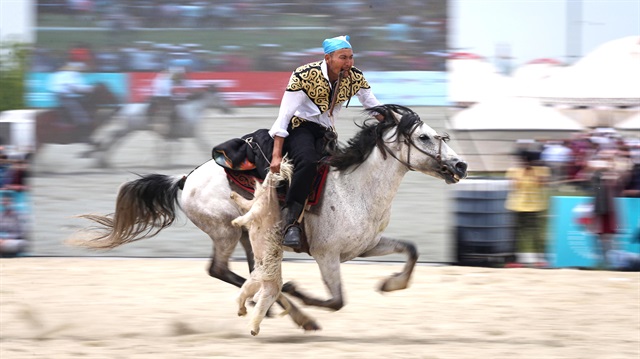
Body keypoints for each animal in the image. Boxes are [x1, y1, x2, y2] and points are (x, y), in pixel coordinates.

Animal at [72, 105, 468, 334]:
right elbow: (337, 300)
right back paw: (297, 313)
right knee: (221, 270)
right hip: (225, 232)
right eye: (424, 137)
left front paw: (390, 283)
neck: (355, 188)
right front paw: (300, 293)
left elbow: (412, 250)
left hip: (251, 238)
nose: (461, 165)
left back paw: (285, 311)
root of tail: (184, 180)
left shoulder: (366, 246)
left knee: (253, 276)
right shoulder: (327, 255)